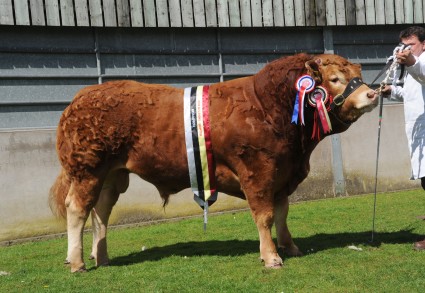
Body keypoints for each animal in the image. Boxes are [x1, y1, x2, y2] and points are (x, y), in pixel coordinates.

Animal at [48, 52, 376, 272]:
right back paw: (77, 262)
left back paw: (102, 257)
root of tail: (82, 96)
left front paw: (290, 246)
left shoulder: (283, 174)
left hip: (112, 174)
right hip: (87, 170)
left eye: (357, 74)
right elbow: (265, 215)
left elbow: (282, 213)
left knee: (101, 212)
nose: (372, 93)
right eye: (335, 79)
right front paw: (271, 256)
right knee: (77, 209)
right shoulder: (258, 172)